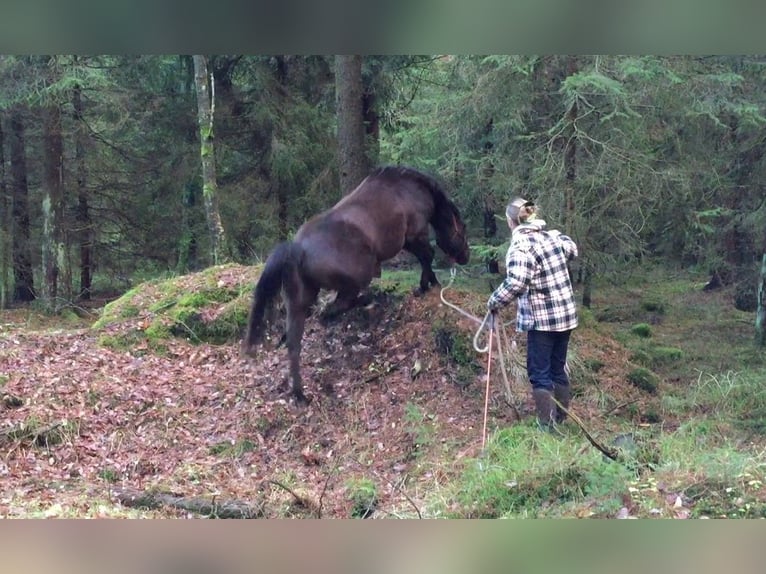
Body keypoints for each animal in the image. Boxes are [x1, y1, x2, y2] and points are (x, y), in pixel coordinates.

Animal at [241, 165, 470, 404]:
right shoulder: (414, 234)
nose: (466, 256)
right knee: (335, 308)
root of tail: (297, 248)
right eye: (463, 229)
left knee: (296, 342)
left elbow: (426, 257)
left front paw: (430, 283)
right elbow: (427, 256)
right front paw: (428, 284)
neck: (409, 188)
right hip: (356, 279)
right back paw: (366, 301)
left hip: (299, 301)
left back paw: (300, 394)